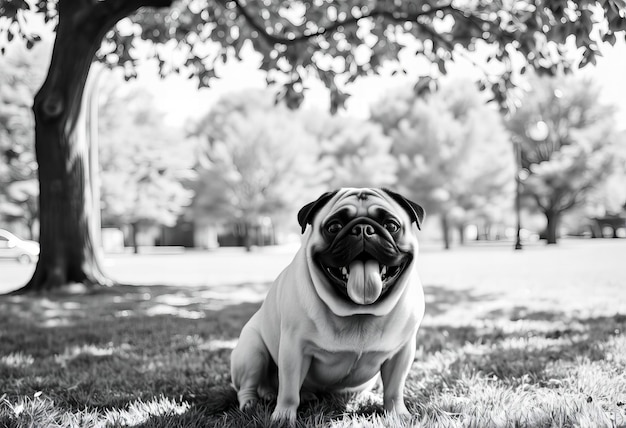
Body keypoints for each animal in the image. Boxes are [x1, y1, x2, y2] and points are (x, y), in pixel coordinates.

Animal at [229, 188, 424, 424]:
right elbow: (289, 390)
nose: (363, 228)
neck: (358, 311)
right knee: (247, 386)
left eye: (391, 226)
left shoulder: (401, 353)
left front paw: (397, 414)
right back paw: (252, 403)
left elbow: (394, 389)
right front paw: (283, 416)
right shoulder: (293, 349)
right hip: (252, 351)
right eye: (334, 227)